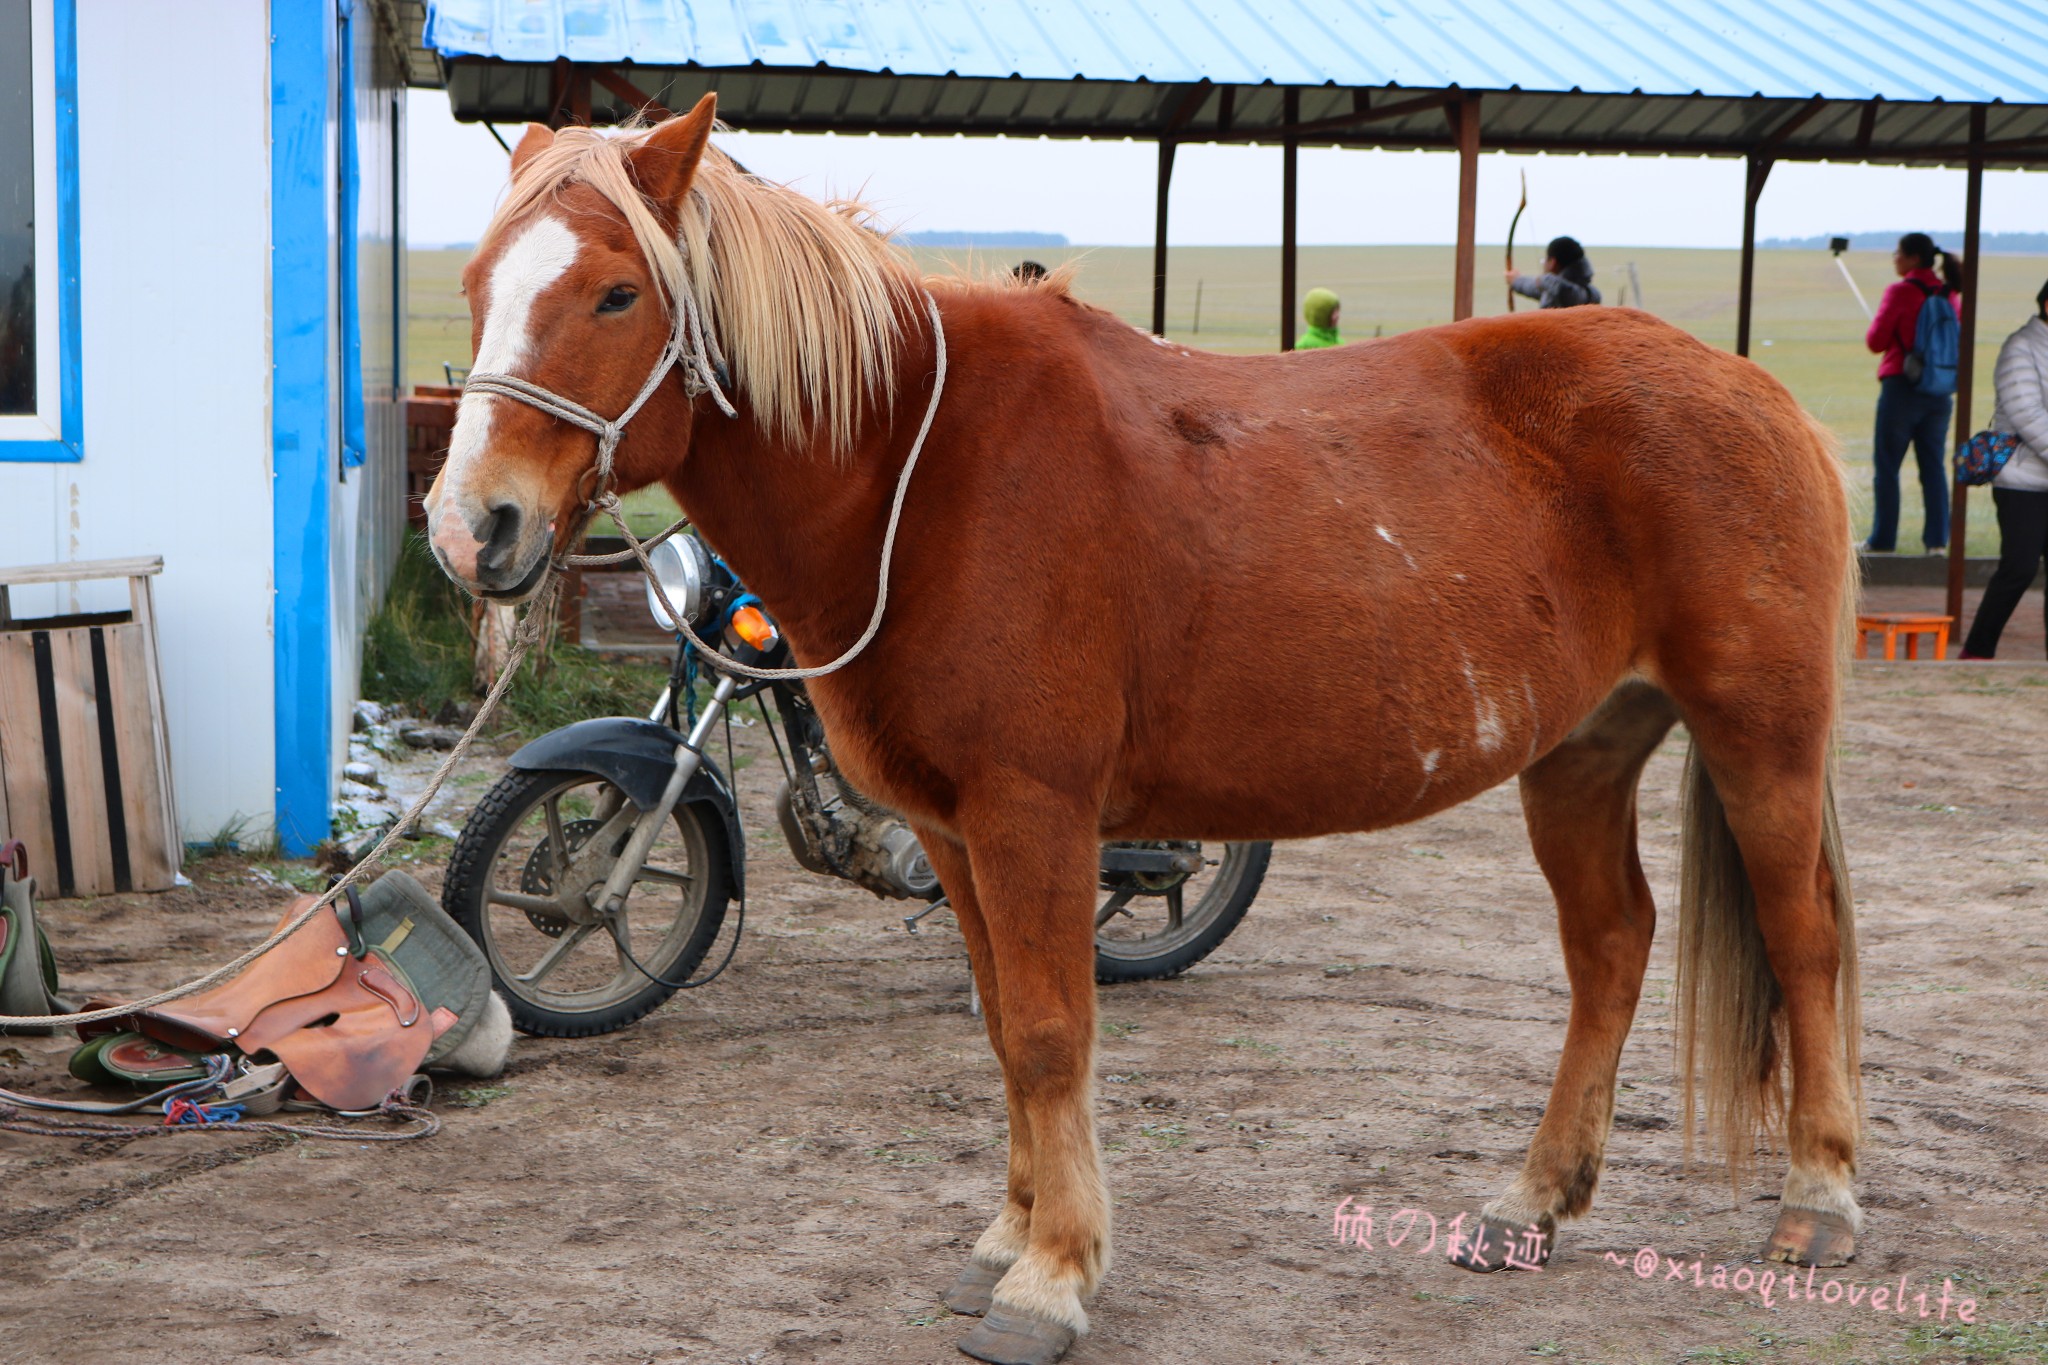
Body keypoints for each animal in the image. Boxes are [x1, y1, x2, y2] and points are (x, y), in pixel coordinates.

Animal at [423, 98, 1867, 1365]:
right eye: (479, 281)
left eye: (616, 294)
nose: (470, 527)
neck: (919, 473)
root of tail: (1754, 392)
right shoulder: (957, 834)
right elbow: (1005, 1029)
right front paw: (1007, 1239)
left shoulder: (1034, 817)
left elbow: (1053, 1035)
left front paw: (1051, 1280)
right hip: (1579, 751)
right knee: (1610, 946)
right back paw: (1534, 1204)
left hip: (1759, 737)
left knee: (1801, 938)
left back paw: (1820, 1201)